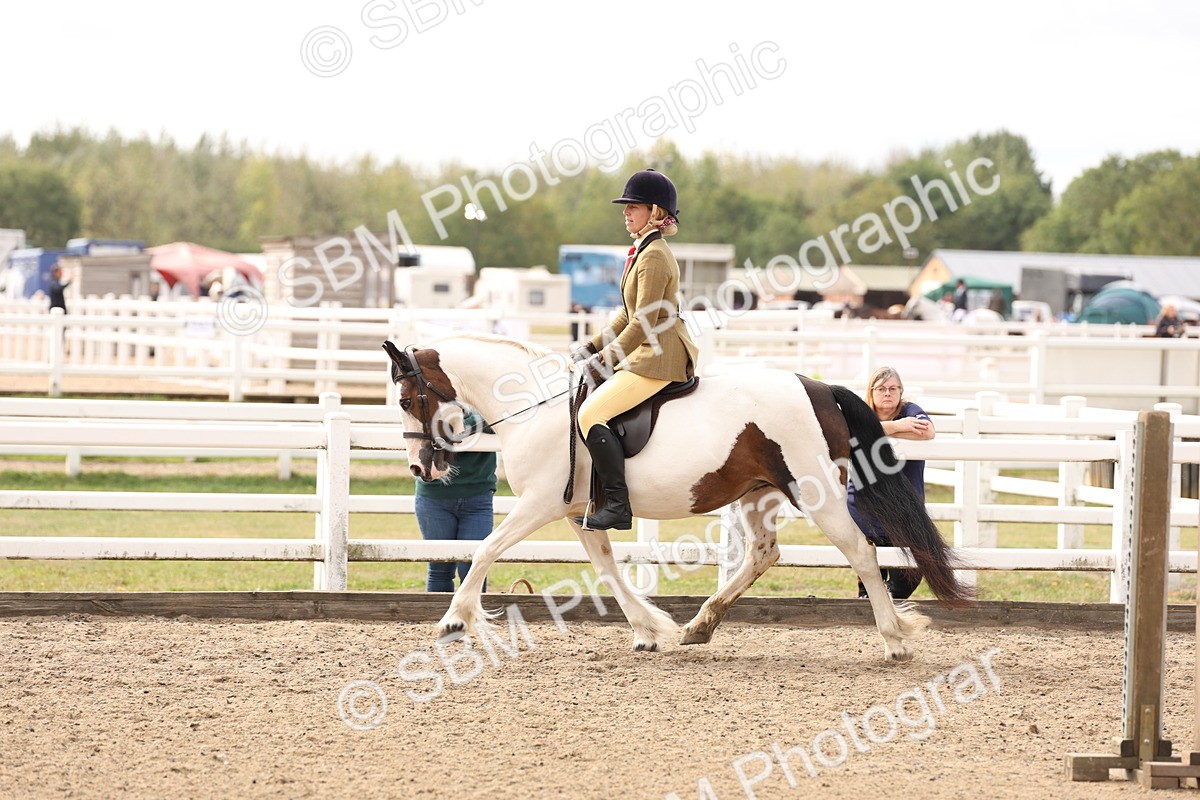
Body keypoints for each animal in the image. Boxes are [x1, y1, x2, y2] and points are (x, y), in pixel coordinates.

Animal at [383, 333, 973, 662]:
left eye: (409, 399)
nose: (418, 466)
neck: (535, 405)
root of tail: (819, 386)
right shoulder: (578, 514)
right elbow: (608, 570)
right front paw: (649, 630)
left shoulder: (539, 505)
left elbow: (484, 547)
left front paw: (455, 619)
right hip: (757, 495)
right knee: (763, 554)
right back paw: (699, 627)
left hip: (817, 493)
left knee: (862, 554)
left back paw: (895, 639)